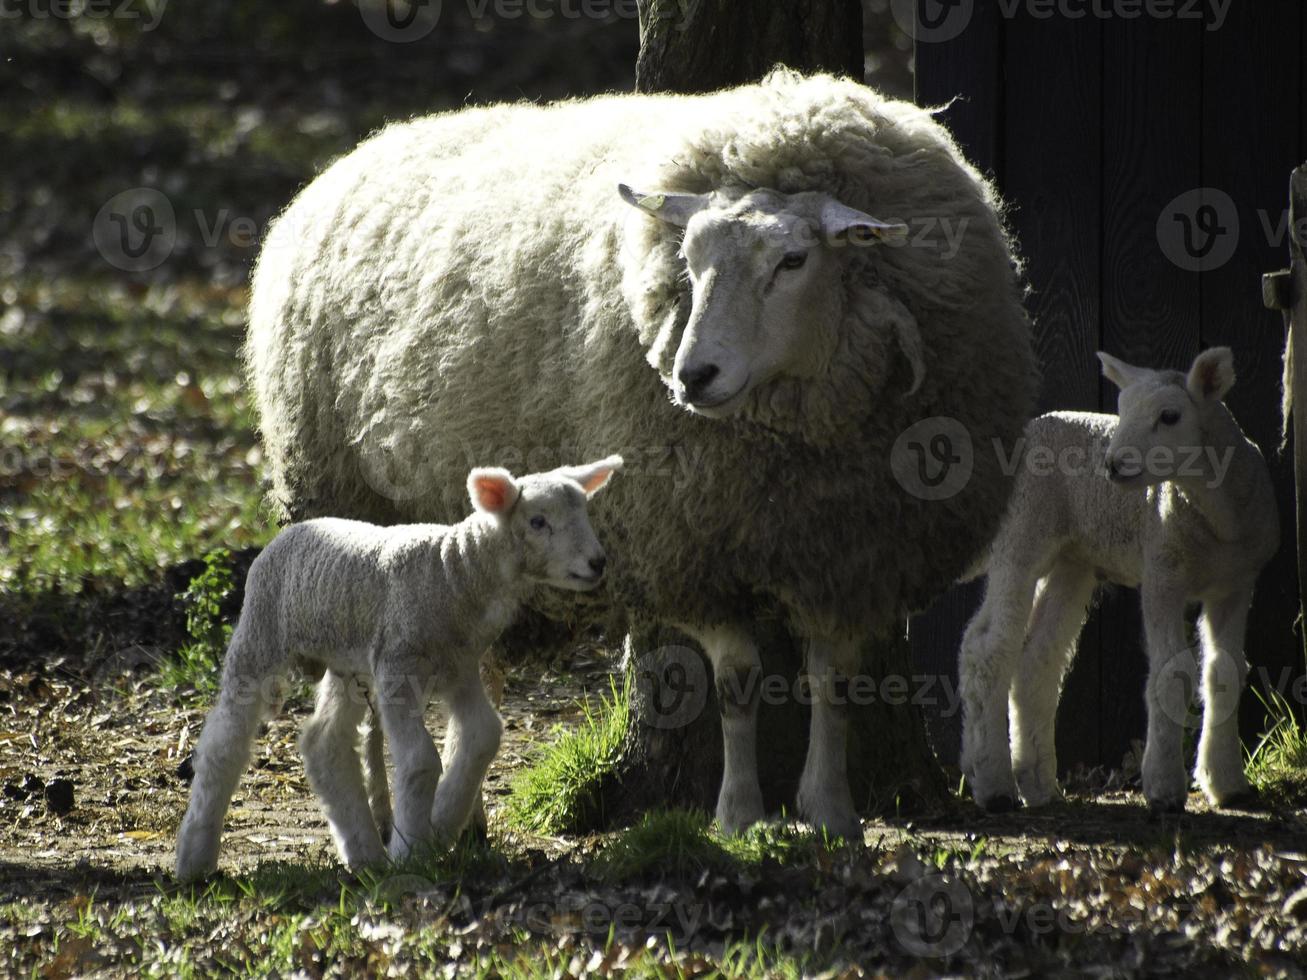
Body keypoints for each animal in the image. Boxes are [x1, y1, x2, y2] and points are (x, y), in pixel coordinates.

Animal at [175, 459, 622, 883]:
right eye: (537, 521)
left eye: (584, 512)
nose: (598, 562)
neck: (454, 571)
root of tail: (286, 532)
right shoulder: (398, 668)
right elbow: (421, 759)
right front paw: (412, 852)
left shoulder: (460, 668)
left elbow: (483, 735)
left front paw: (441, 824)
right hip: (261, 632)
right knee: (223, 744)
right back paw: (195, 858)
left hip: (348, 662)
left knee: (324, 742)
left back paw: (364, 853)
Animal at [249, 70, 1035, 846]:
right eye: (688, 259)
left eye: (793, 260)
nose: (692, 376)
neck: (803, 436)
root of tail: (358, 153)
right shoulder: (688, 551)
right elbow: (738, 681)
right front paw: (738, 811)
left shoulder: (850, 557)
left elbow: (832, 682)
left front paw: (829, 811)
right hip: (349, 517)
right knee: (367, 699)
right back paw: (388, 818)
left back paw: (455, 822)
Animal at [961, 350, 1275, 815]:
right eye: (1122, 410)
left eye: (1169, 416)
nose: (1112, 464)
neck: (1219, 523)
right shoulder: (1162, 572)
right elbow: (1173, 672)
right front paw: (1163, 788)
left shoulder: (1237, 583)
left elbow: (1226, 671)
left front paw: (1228, 782)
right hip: (1021, 533)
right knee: (988, 650)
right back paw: (995, 785)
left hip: (1073, 560)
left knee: (1036, 658)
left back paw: (1038, 784)